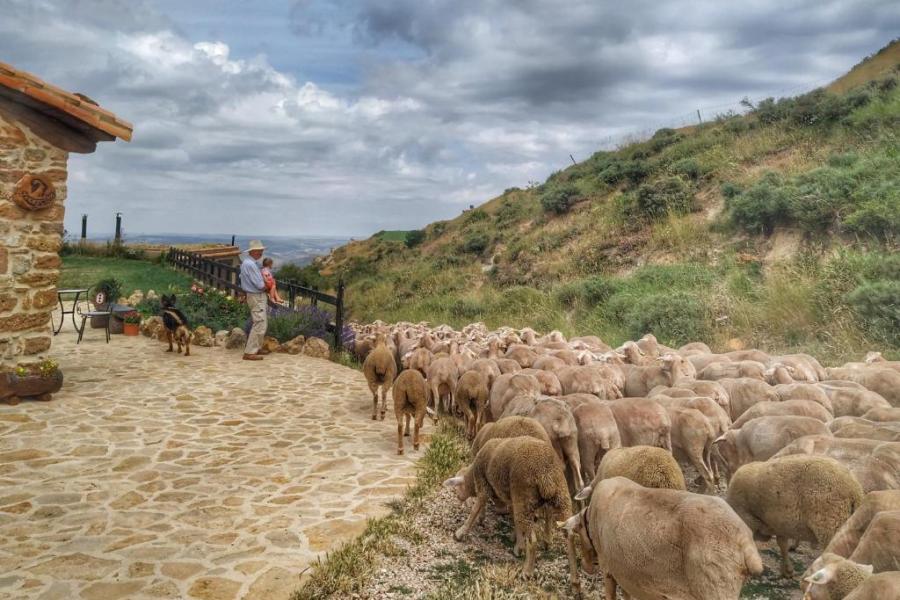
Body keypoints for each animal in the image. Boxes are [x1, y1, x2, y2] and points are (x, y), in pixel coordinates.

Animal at [443, 436, 571, 577]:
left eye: (457, 487)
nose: (459, 498)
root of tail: (545, 475)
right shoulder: (511, 499)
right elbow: (514, 520)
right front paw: (518, 544)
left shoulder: (483, 485)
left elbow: (475, 509)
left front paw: (460, 533)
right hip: (560, 495)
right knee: (570, 535)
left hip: (524, 497)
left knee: (532, 541)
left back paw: (527, 571)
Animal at [564, 476, 761, 600]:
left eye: (579, 531)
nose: (587, 568)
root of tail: (745, 541)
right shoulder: (624, 571)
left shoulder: (609, 568)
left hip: (715, 583)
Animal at [726, 454, 864, 578]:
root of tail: (854, 490)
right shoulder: (780, 524)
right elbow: (782, 544)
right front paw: (787, 570)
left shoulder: (750, 520)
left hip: (831, 524)